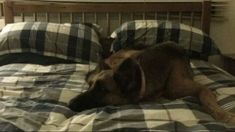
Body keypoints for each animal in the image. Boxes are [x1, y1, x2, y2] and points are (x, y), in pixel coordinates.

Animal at [68, 41, 235, 124]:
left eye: (102, 89)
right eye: (90, 86)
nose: (69, 103)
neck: (144, 77)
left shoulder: (200, 88)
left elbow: (207, 98)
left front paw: (222, 114)